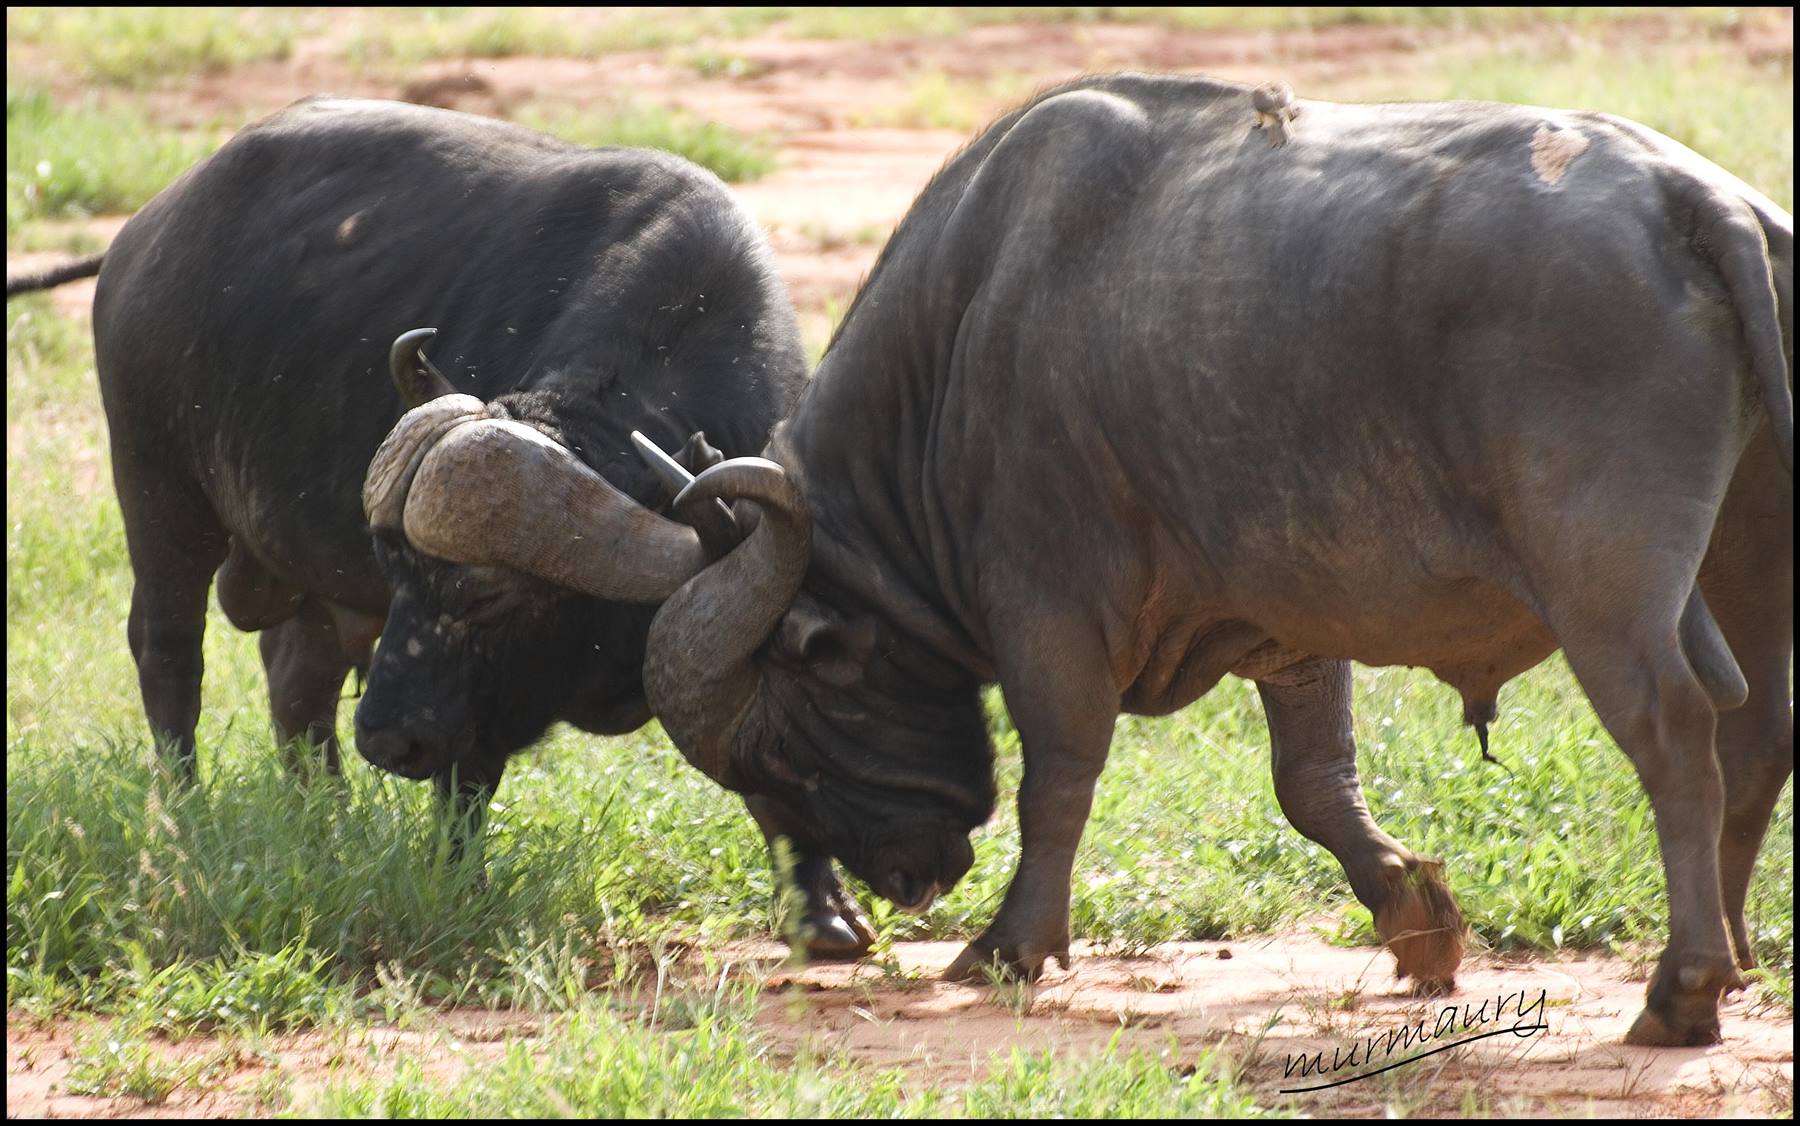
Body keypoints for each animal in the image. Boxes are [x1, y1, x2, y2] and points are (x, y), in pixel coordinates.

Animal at [75, 96, 870, 955]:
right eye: (398, 575)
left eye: (487, 597)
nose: (387, 742)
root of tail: (145, 236)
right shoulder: (469, 715)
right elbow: (467, 781)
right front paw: (460, 881)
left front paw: (820, 908)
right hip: (158, 491)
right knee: (168, 654)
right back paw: (185, 813)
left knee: (297, 686)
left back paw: (327, 825)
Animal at [399, 73, 1792, 1046]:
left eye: (786, 751)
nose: (909, 881)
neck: (965, 340)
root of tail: (1696, 200)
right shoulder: (1290, 623)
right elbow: (1315, 782)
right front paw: (1413, 913)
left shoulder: (1048, 610)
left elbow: (1058, 775)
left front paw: (1010, 942)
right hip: (1742, 563)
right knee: (1756, 730)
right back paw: (1730, 953)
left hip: (1610, 585)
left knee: (1678, 732)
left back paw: (1680, 988)